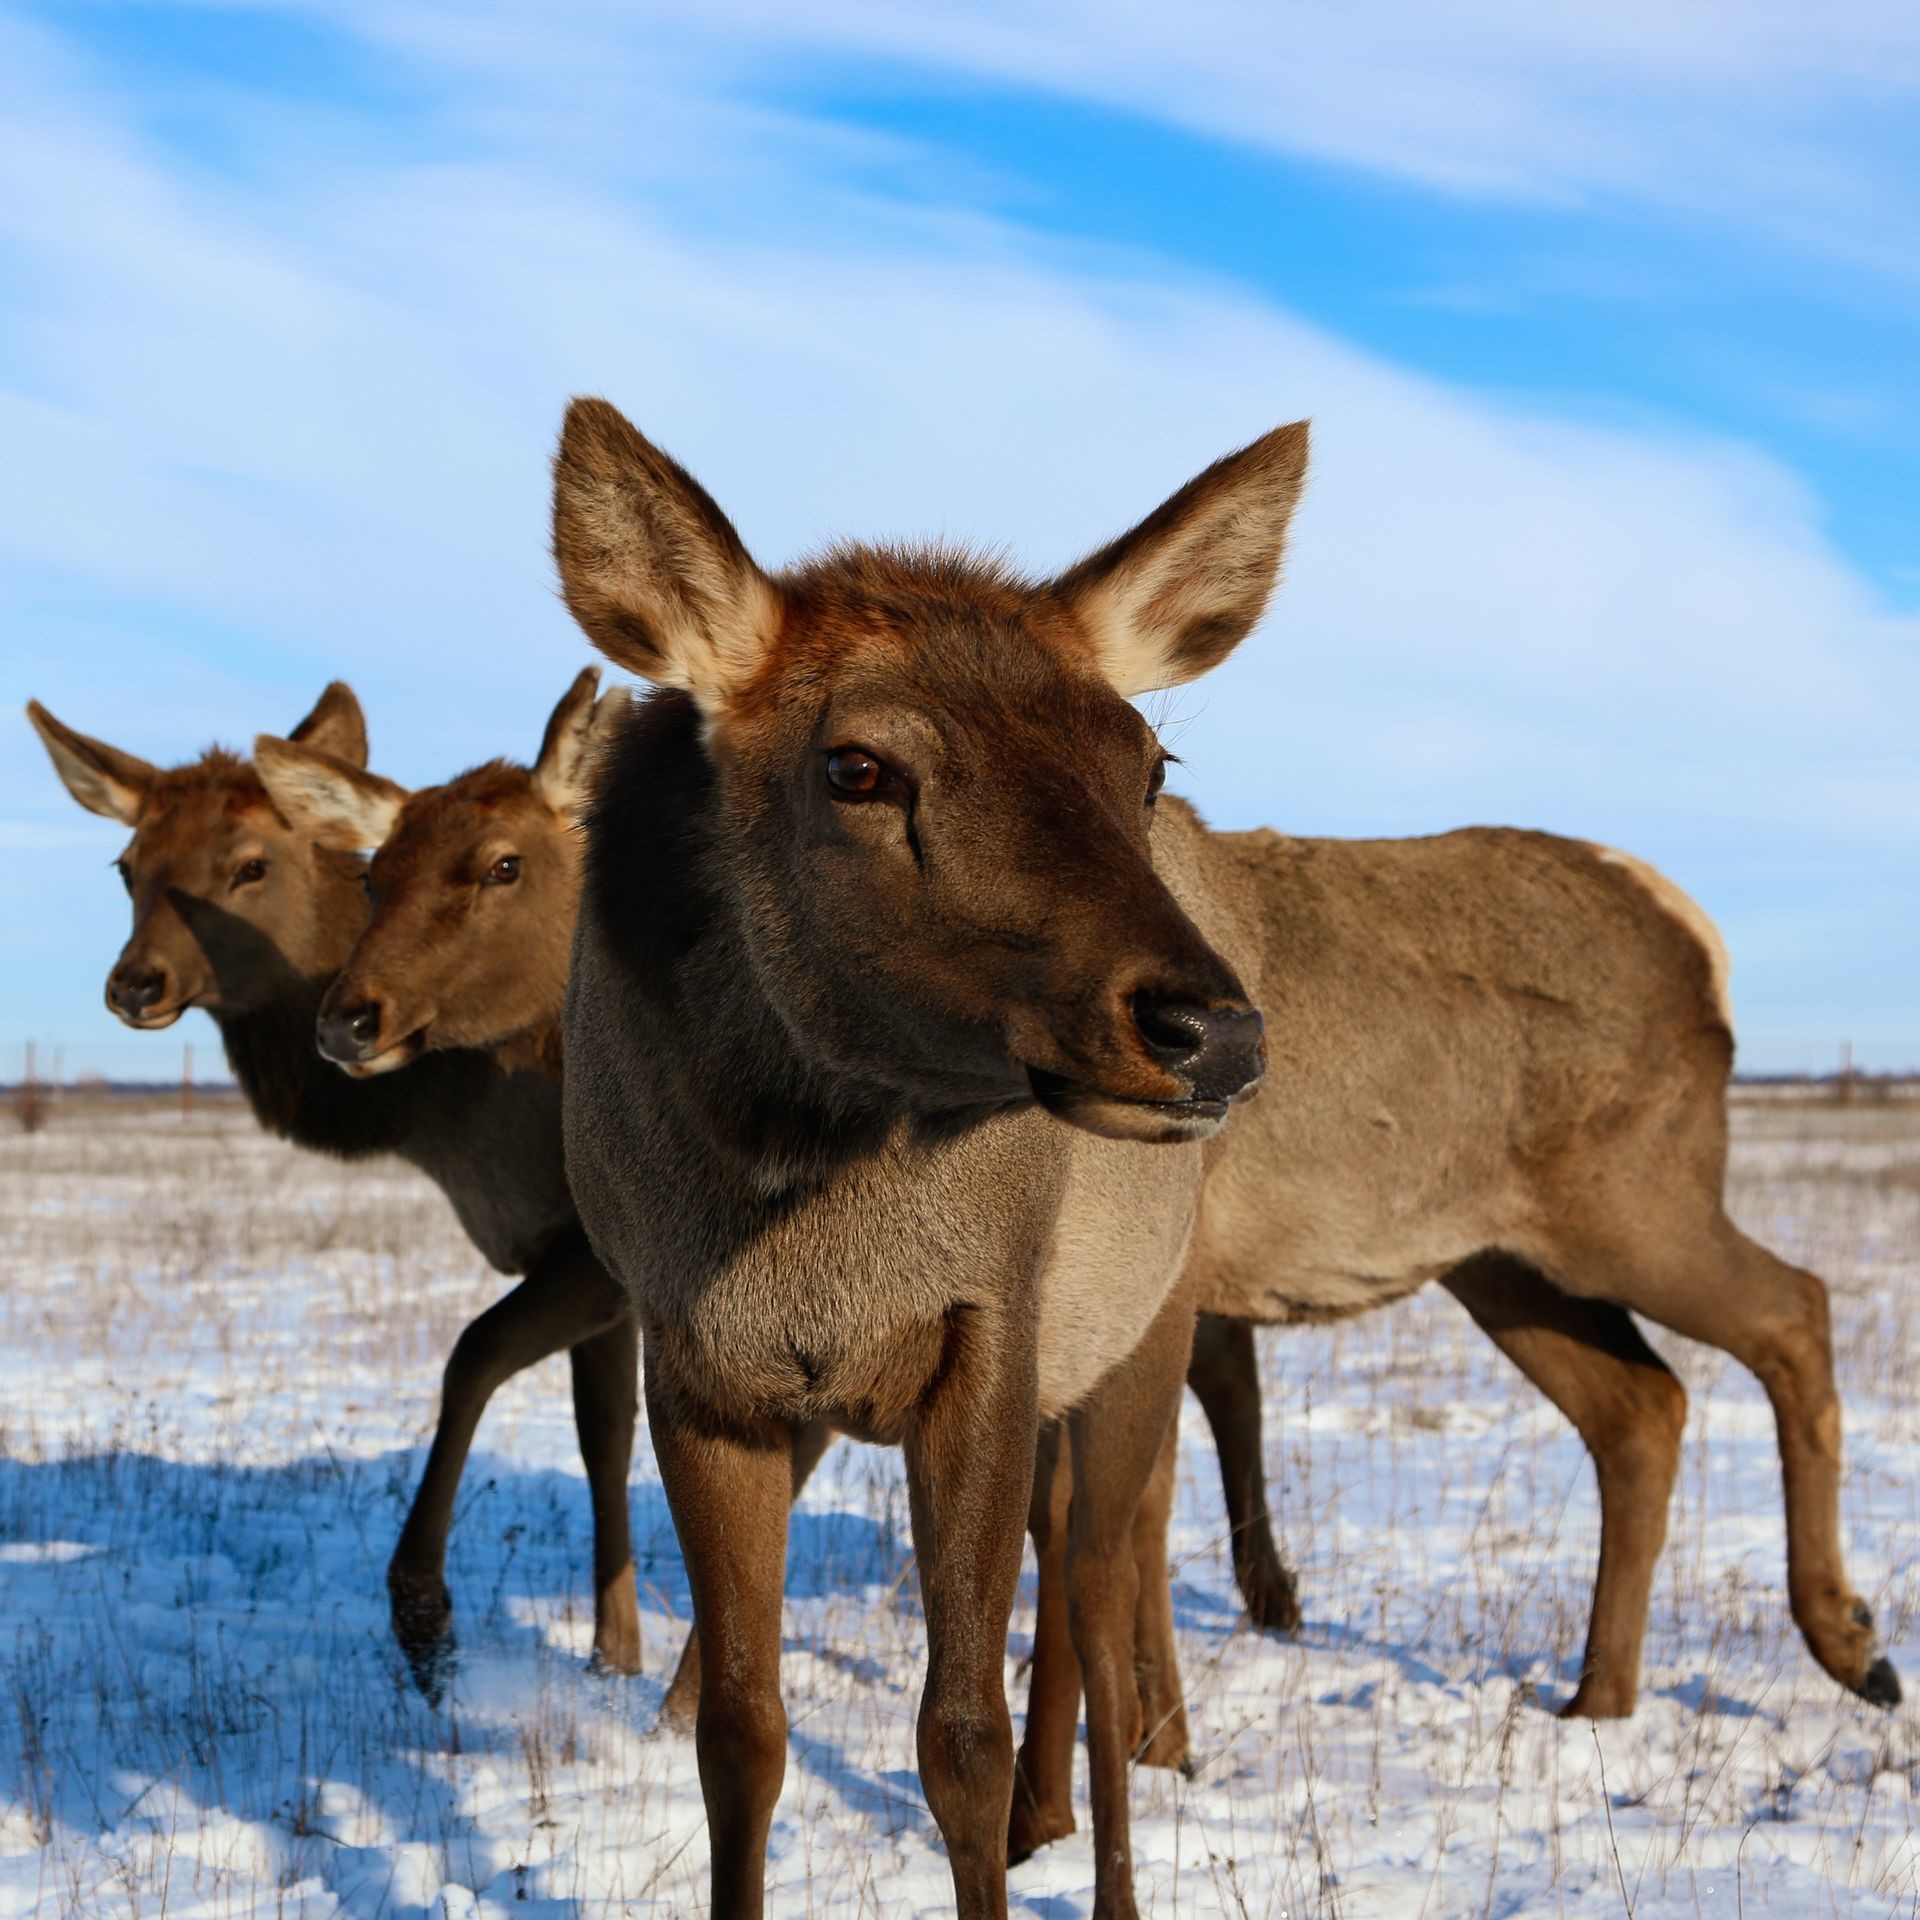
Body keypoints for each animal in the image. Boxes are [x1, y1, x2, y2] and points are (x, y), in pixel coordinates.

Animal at [28, 687, 645, 1697]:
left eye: (250, 864)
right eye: (127, 867)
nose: (133, 984)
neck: (452, 1125)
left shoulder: (600, 1251)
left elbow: (476, 1354)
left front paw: (426, 1616)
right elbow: (606, 1437)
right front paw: (616, 1664)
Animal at [549, 397, 1896, 1912]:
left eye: (1150, 766)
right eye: (857, 767)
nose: (1220, 1034)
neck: (792, 1210)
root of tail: (1697, 933)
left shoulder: (1001, 1330)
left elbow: (972, 1714)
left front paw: (1087, 1792)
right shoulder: (700, 1359)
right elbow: (740, 1731)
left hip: (1629, 1192)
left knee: (1790, 1307)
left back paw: (1849, 1641)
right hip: (1504, 1257)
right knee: (1642, 1405)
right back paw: (1600, 1702)